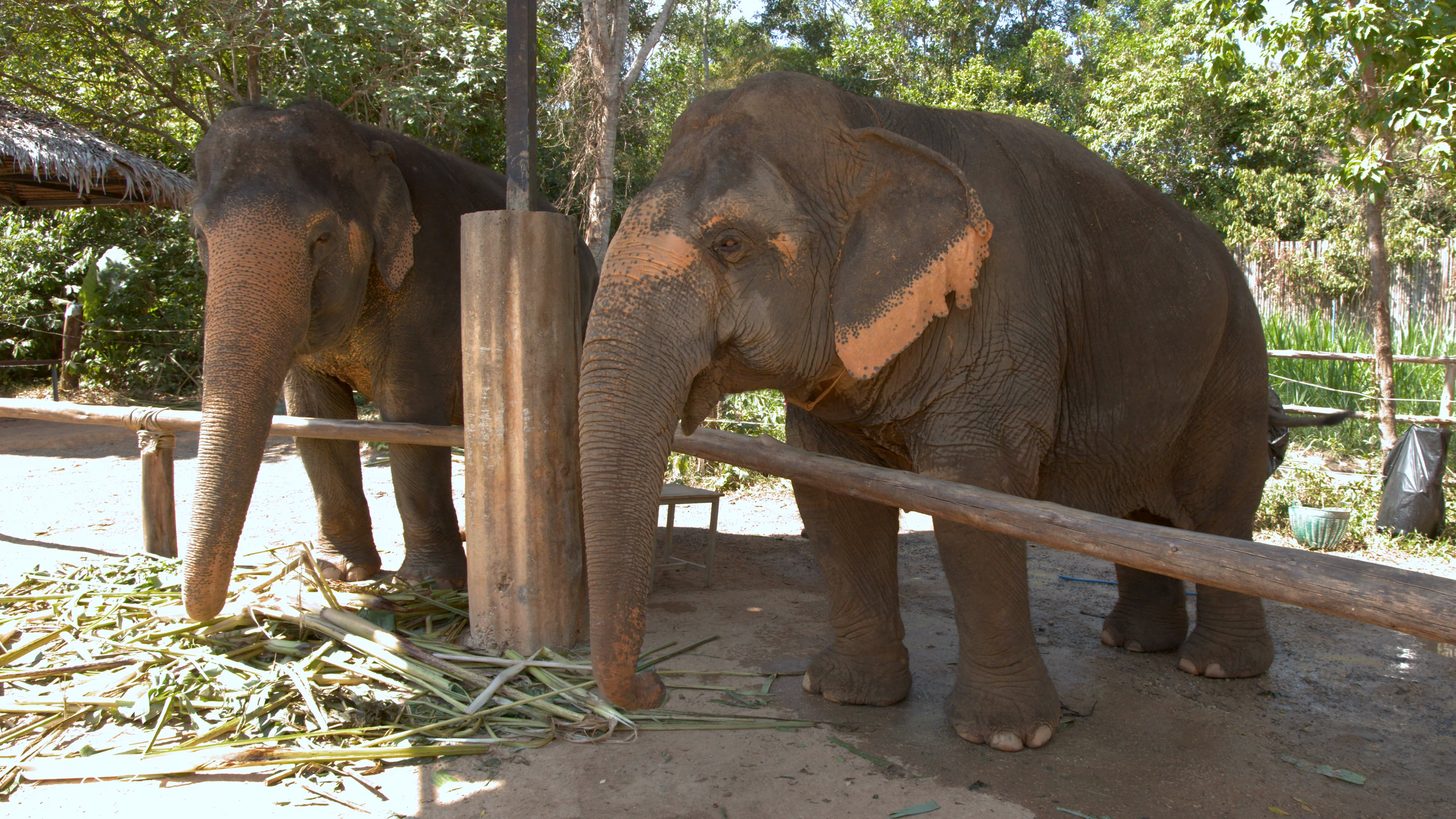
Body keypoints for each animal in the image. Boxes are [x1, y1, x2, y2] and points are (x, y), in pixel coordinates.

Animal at [183, 101, 596, 620]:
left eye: (322, 237)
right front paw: (337, 572)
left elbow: (410, 415)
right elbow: (313, 417)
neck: (365, 142)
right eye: (199, 233)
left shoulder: (431, 285)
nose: (205, 612)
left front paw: (429, 584)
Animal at [577, 72, 1314, 752]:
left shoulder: (1003, 317)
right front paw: (845, 694)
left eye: (729, 243)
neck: (873, 120)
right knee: (1141, 517)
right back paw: (1133, 644)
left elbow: (974, 493)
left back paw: (1215, 667)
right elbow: (832, 494)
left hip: (1236, 361)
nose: (654, 684)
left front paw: (1009, 737)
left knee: (1219, 505)